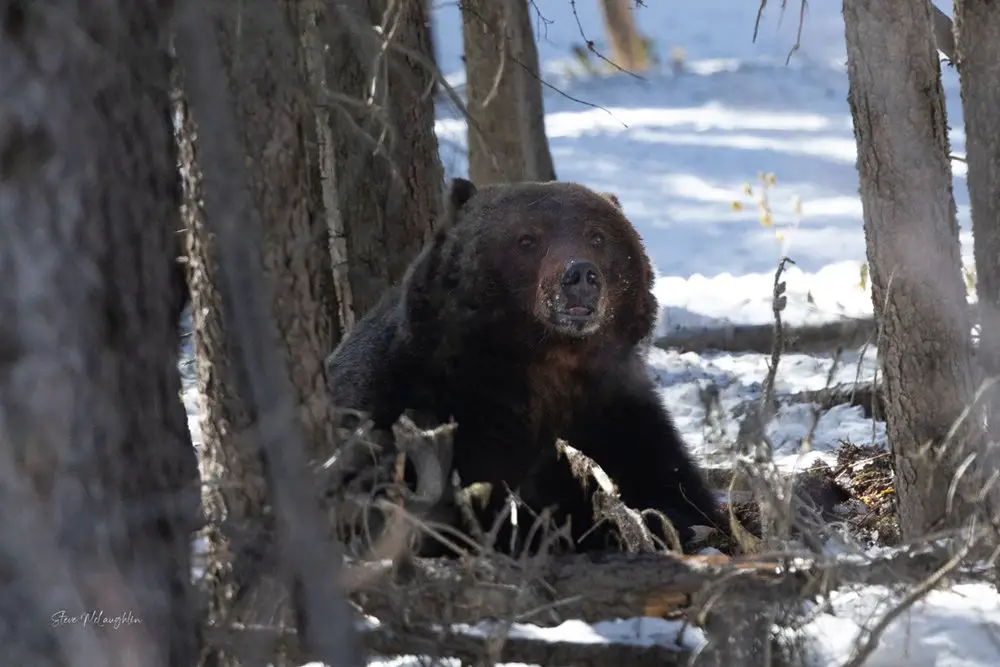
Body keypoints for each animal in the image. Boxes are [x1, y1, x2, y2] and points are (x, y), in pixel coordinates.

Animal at [328, 180, 728, 556]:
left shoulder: (610, 408)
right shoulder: (424, 402)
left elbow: (669, 486)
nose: (580, 275)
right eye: (526, 239)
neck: (543, 365)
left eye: (597, 235)